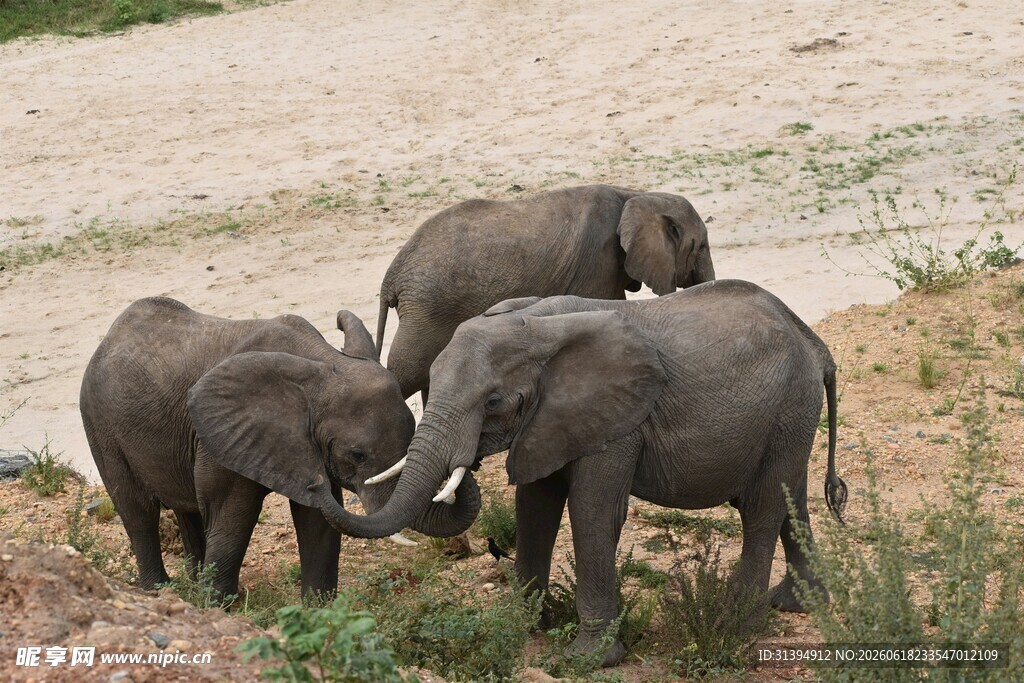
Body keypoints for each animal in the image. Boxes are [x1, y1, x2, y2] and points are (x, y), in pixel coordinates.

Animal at [79, 297, 479, 600]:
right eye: (357, 455)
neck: (323, 363)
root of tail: (108, 337)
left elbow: (317, 523)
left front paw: (320, 615)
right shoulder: (219, 435)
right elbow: (232, 515)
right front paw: (222, 607)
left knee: (185, 510)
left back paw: (191, 588)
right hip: (99, 422)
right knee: (138, 511)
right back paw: (160, 592)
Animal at [324, 280, 847, 666]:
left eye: (493, 402)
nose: (466, 463)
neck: (536, 324)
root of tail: (814, 343)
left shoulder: (619, 421)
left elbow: (594, 511)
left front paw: (590, 659)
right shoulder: (549, 418)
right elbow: (534, 507)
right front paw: (520, 624)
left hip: (788, 407)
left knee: (761, 508)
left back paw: (738, 623)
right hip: (792, 415)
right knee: (792, 500)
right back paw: (798, 603)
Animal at [375, 184, 716, 404]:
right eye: (701, 246)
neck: (636, 194)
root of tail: (391, 275)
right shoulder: (599, 259)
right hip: (427, 308)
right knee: (407, 372)